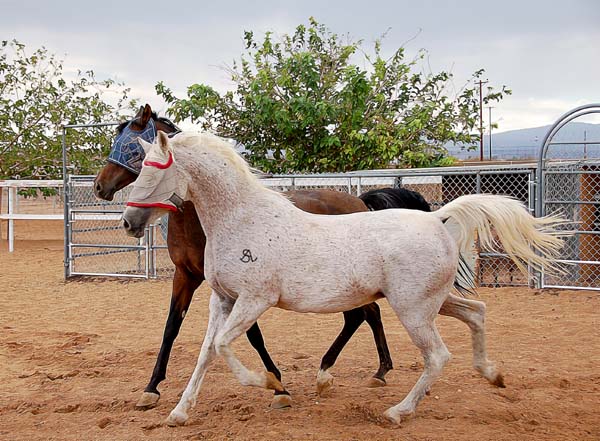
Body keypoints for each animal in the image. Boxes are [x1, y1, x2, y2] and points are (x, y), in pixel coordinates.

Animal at [123, 131, 568, 426]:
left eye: (153, 172)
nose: (128, 222)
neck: (241, 220)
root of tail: (437, 220)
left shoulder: (254, 300)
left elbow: (223, 345)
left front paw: (268, 383)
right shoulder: (223, 299)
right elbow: (206, 352)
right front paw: (178, 412)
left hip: (413, 310)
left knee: (437, 356)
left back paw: (396, 411)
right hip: (434, 302)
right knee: (477, 311)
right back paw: (492, 375)